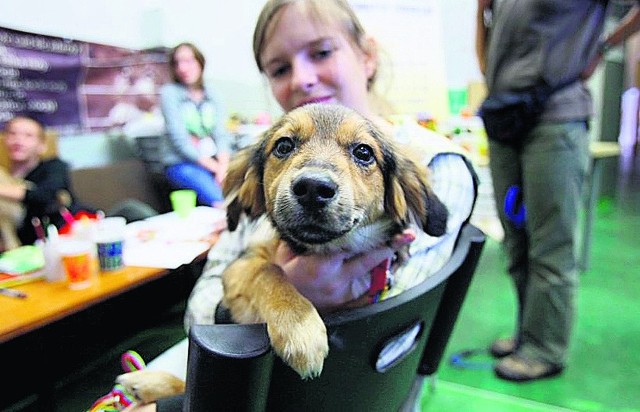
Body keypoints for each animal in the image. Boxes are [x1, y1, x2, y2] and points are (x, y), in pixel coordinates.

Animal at [116, 104, 444, 404]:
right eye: (284, 146)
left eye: (364, 152)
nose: (312, 188)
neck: (316, 250)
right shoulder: (242, 267)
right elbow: (270, 271)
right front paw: (301, 328)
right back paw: (145, 382)